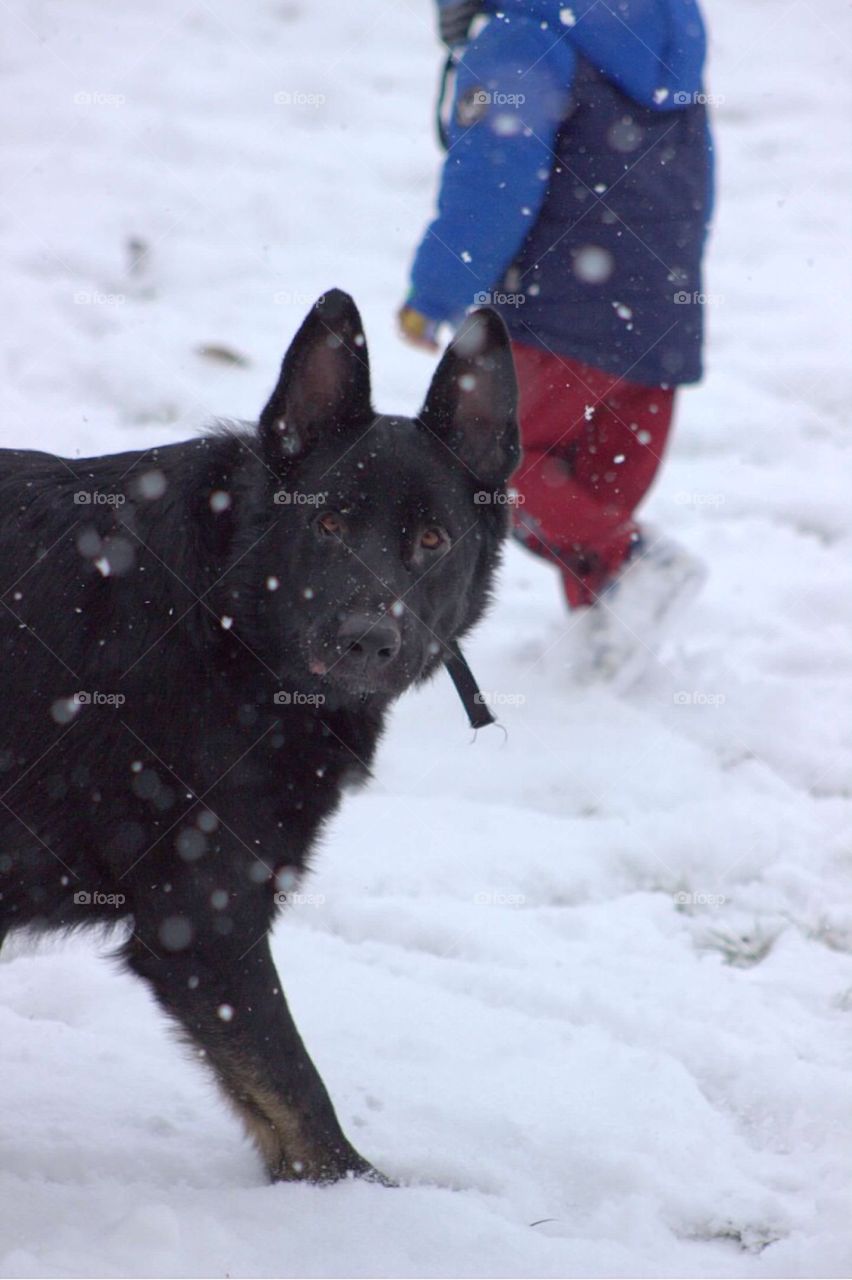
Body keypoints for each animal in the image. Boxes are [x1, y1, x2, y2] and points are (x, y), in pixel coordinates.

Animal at [0, 290, 516, 1177]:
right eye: (330, 525)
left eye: (432, 541)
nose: (366, 640)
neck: (225, 615)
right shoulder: (204, 922)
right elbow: (298, 1089)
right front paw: (364, 1198)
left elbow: (274, 1107)